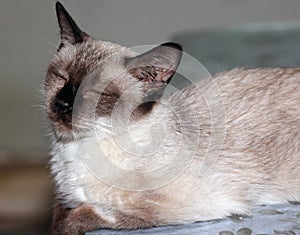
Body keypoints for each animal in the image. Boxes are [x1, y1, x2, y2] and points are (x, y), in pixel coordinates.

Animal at [46, 1, 300, 235]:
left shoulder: (184, 206)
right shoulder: (62, 198)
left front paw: (65, 225)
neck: (75, 150)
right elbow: (60, 211)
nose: (62, 104)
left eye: (97, 93)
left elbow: (82, 215)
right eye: (61, 77)